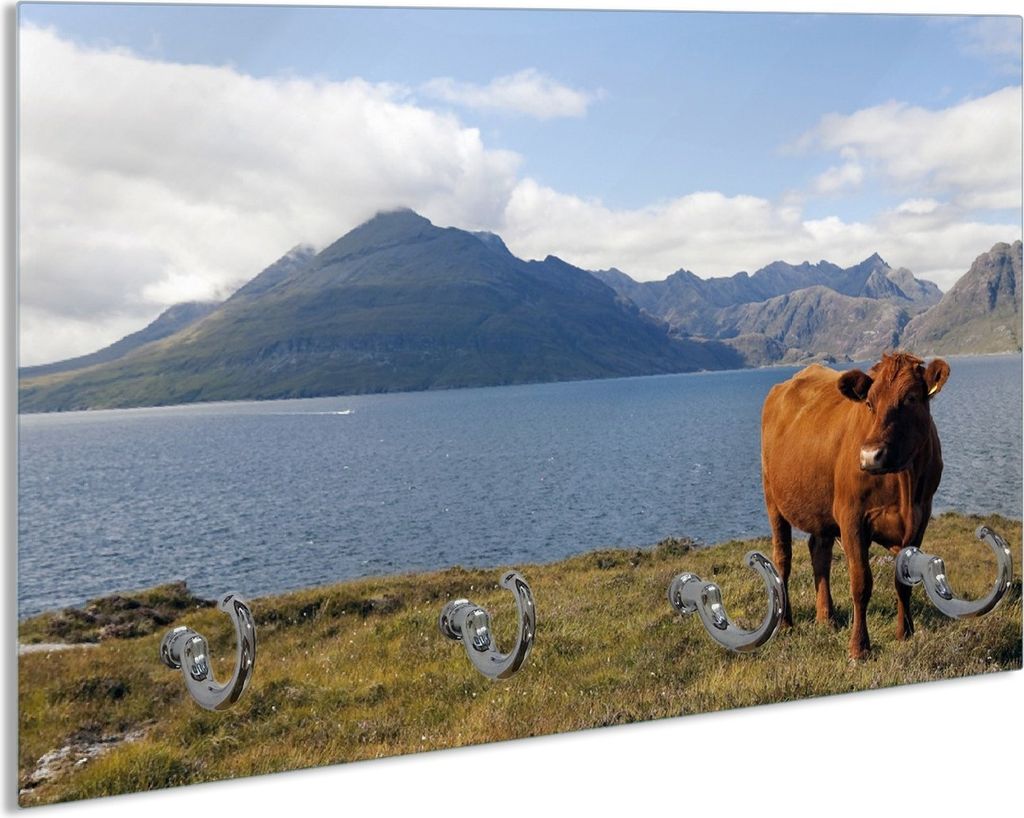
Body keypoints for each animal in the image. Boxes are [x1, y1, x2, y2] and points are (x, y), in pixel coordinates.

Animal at [760, 352, 950, 659]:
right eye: (869, 403)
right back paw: (786, 623)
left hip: (822, 509)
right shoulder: (852, 517)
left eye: (910, 398)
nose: (870, 456)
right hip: (773, 500)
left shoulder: (920, 519)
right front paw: (859, 647)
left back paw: (826, 618)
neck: (904, 483)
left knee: (819, 552)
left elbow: (903, 581)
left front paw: (905, 634)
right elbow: (861, 583)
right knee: (782, 559)